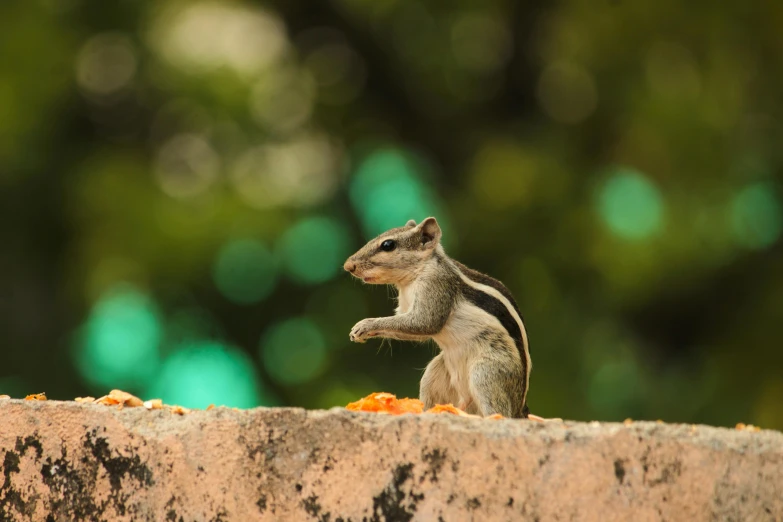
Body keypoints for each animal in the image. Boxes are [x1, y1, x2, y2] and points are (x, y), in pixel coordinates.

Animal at [344, 216, 532, 418]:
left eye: (388, 245)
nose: (348, 266)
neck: (411, 279)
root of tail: (520, 407)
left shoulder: (436, 285)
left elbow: (426, 322)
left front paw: (365, 325)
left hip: (487, 372)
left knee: (500, 411)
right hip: (435, 374)